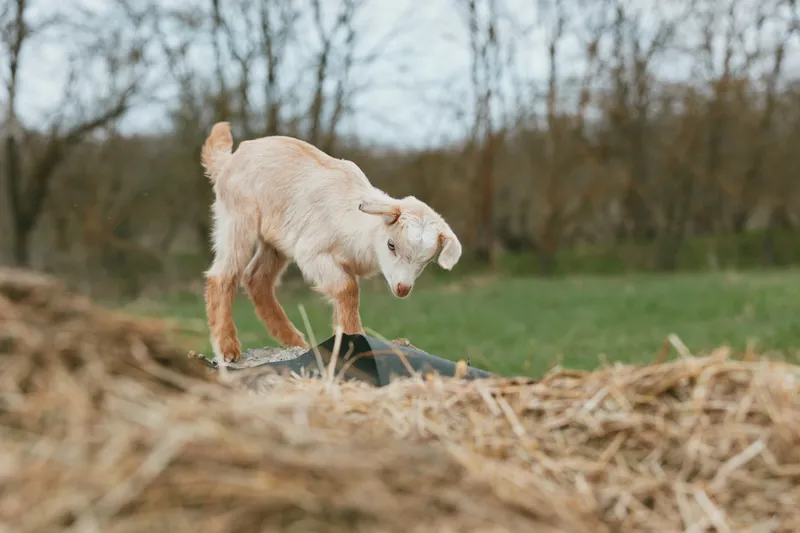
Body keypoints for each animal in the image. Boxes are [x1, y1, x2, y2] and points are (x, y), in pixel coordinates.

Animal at [199, 122, 462, 363]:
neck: (360, 228)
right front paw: (356, 338)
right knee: (223, 274)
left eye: (427, 259)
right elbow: (348, 289)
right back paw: (228, 348)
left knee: (256, 278)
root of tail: (228, 161)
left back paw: (295, 341)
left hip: (275, 239)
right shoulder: (313, 253)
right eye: (391, 245)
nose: (402, 288)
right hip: (237, 217)